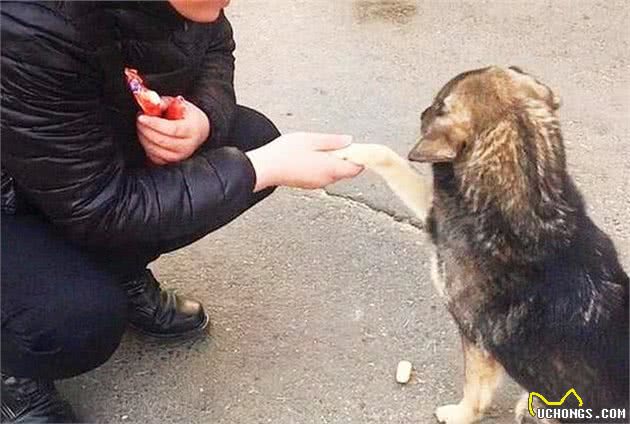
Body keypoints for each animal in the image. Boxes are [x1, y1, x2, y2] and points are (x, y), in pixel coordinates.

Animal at [334, 64, 628, 422]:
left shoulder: (476, 340)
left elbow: (474, 390)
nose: (422, 112)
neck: (532, 202)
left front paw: (460, 414)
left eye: (437, 105)